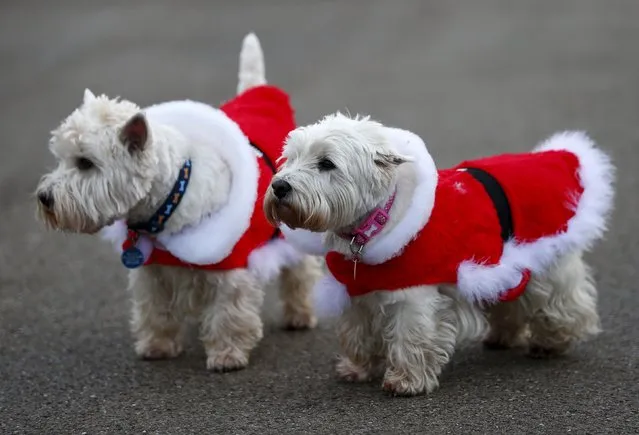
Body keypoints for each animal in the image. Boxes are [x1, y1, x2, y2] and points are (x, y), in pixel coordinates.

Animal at [36, 34, 320, 372]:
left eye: (85, 163)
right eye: (61, 158)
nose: (44, 198)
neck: (168, 202)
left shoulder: (230, 268)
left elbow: (228, 312)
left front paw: (226, 355)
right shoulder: (152, 270)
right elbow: (154, 309)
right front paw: (157, 346)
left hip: (287, 226)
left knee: (301, 270)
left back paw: (300, 315)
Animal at [264, 112, 616, 396]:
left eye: (326, 163)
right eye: (289, 158)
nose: (279, 187)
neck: (373, 224)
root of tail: (553, 157)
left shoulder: (413, 295)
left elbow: (411, 336)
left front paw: (405, 382)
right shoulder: (358, 293)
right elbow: (357, 332)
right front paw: (357, 369)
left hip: (547, 257)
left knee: (563, 301)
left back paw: (552, 342)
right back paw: (502, 336)